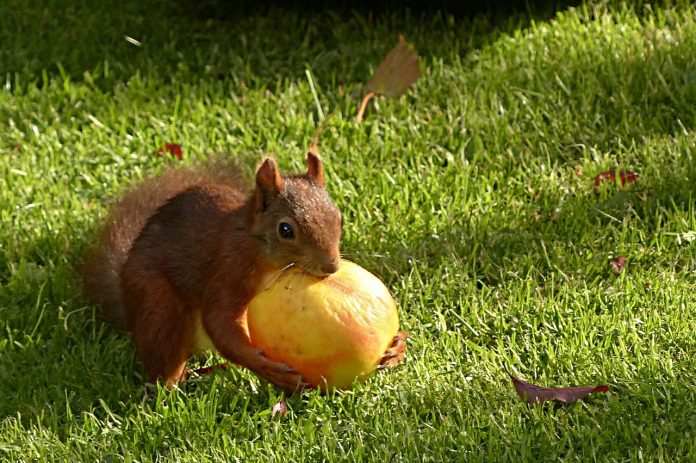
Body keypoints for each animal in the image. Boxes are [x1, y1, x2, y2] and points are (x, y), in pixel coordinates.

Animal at [82, 152, 407, 390]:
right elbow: (220, 323)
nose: (331, 267)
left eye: (339, 218)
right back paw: (174, 387)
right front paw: (266, 368)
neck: (257, 248)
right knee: (163, 354)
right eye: (285, 230)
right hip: (157, 302)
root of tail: (125, 296)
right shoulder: (229, 268)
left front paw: (397, 347)